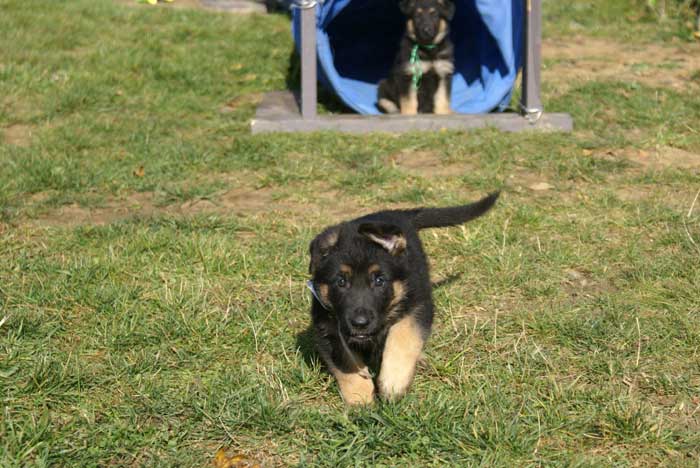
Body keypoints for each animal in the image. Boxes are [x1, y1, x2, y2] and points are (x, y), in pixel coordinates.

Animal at [306, 192, 498, 404]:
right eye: (340, 282)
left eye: (379, 281)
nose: (360, 323)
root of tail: (397, 214)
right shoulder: (327, 322)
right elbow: (345, 361)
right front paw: (360, 396)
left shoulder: (418, 304)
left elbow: (403, 336)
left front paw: (393, 382)